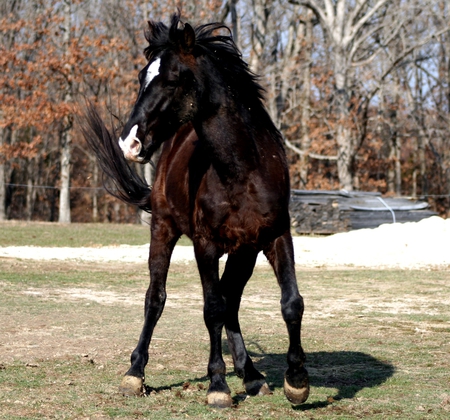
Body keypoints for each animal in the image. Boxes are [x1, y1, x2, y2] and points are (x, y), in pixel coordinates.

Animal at [82, 13, 310, 406]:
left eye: (173, 79)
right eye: (141, 76)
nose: (129, 142)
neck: (243, 170)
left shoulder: (276, 235)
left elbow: (290, 302)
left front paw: (296, 380)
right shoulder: (206, 245)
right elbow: (211, 309)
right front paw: (217, 385)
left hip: (244, 253)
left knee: (232, 301)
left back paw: (251, 375)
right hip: (164, 230)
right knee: (156, 298)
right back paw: (135, 373)